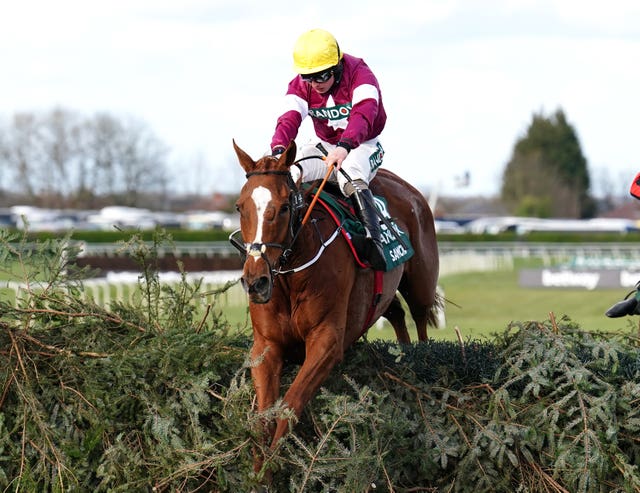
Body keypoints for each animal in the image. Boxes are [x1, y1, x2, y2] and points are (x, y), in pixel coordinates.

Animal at [234, 140, 440, 468]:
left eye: (284, 207)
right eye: (240, 207)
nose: (255, 282)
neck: (291, 276)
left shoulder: (327, 341)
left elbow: (289, 406)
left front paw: (275, 464)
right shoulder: (266, 346)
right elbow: (263, 417)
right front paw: (258, 472)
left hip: (420, 283)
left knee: (420, 318)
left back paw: (419, 357)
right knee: (395, 312)